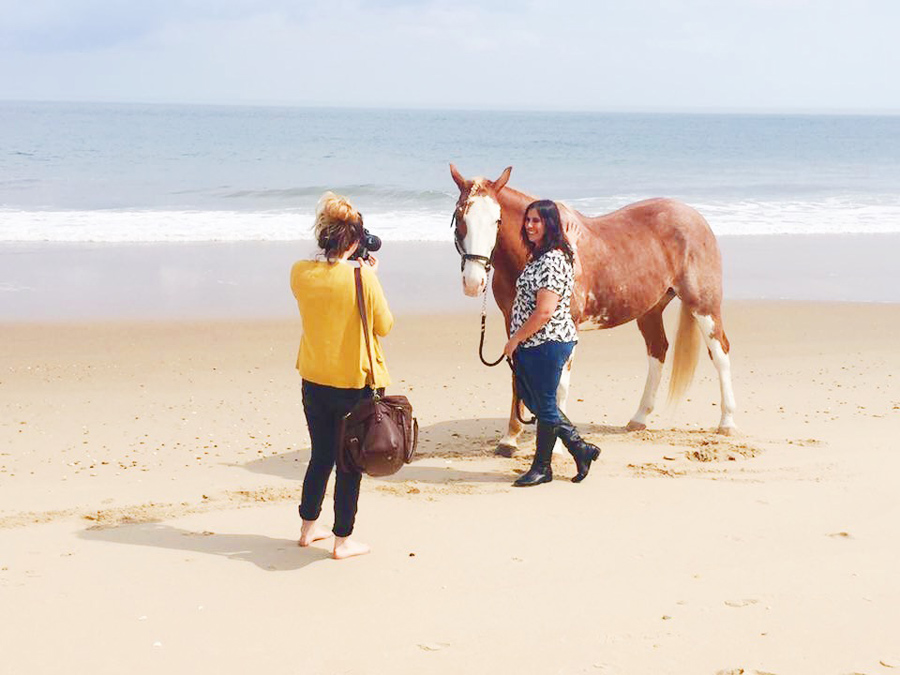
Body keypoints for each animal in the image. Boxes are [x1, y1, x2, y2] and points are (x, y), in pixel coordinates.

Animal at [450, 164, 740, 454]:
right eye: (460, 217)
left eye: (497, 221)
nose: (473, 282)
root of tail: (694, 216)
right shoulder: (514, 323)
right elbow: (517, 380)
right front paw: (509, 439)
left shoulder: (565, 328)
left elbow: (559, 385)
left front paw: (555, 448)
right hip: (650, 310)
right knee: (658, 350)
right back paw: (639, 418)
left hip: (703, 304)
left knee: (720, 353)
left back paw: (727, 422)